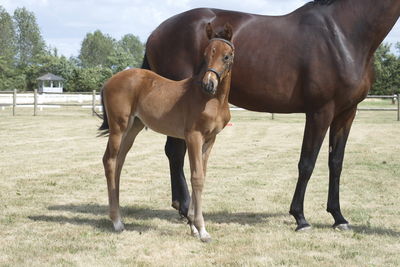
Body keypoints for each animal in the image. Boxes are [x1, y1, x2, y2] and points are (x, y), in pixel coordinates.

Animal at [99, 23, 234, 243]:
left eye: (227, 56)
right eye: (206, 54)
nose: (208, 84)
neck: (211, 99)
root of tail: (109, 81)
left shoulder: (210, 139)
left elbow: (202, 174)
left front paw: (193, 226)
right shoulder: (193, 136)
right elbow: (196, 177)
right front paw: (201, 229)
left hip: (133, 128)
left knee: (119, 162)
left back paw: (119, 216)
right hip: (118, 127)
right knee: (109, 161)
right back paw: (117, 222)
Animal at [143, 0, 400, 231]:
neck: (342, 34)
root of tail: (156, 32)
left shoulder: (347, 113)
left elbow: (336, 163)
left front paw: (338, 217)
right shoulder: (320, 111)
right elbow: (307, 163)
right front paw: (300, 218)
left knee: (173, 152)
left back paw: (182, 208)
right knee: (176, 152)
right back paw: (187, 209)